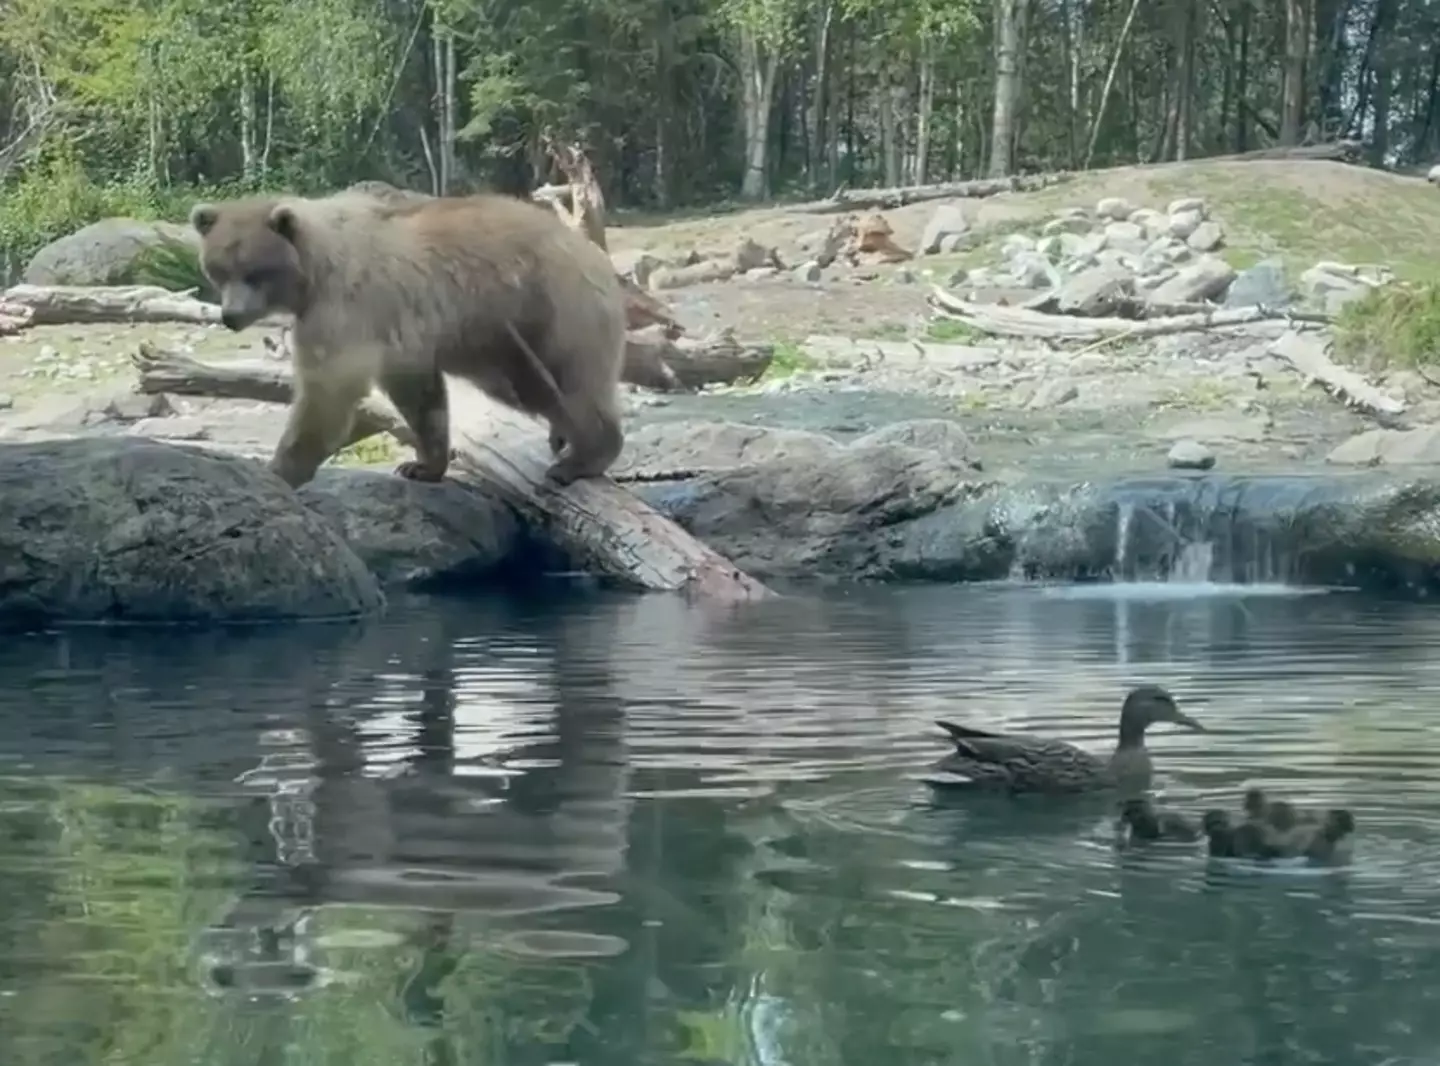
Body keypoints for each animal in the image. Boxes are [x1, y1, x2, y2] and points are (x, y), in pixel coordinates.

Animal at [185, 190, 624, 489]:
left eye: (256, 271)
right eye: (219, 269)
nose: (230, 316)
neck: (313, 274)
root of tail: (595, 255)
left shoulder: (346, 308)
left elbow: (328, 391)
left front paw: (278, 470)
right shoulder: (400, 338)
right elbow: (420, 397)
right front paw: (421, 465)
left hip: (549, 309)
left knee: (568, 383)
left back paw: (583, 457)